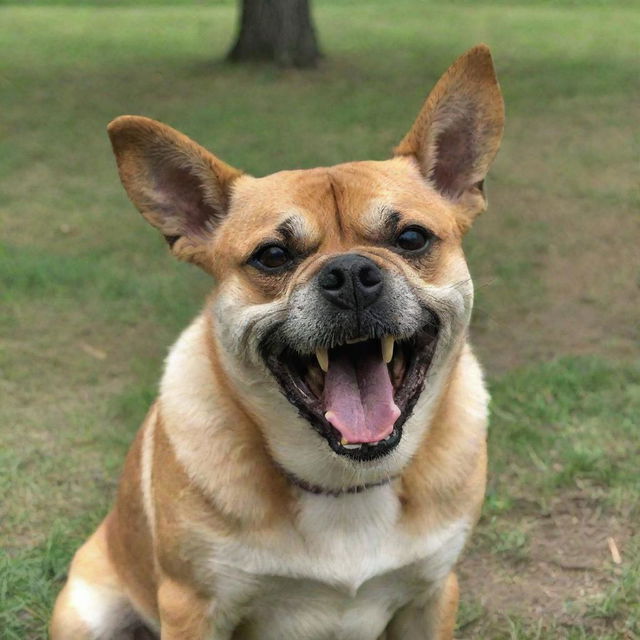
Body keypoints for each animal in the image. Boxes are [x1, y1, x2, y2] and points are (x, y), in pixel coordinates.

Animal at [51, 46, 504, 640]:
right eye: (272, 256)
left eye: (411, 238)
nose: (351, 273)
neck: (344, 482)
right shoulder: (193, 606)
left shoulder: (432, 594)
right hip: (88, 613)